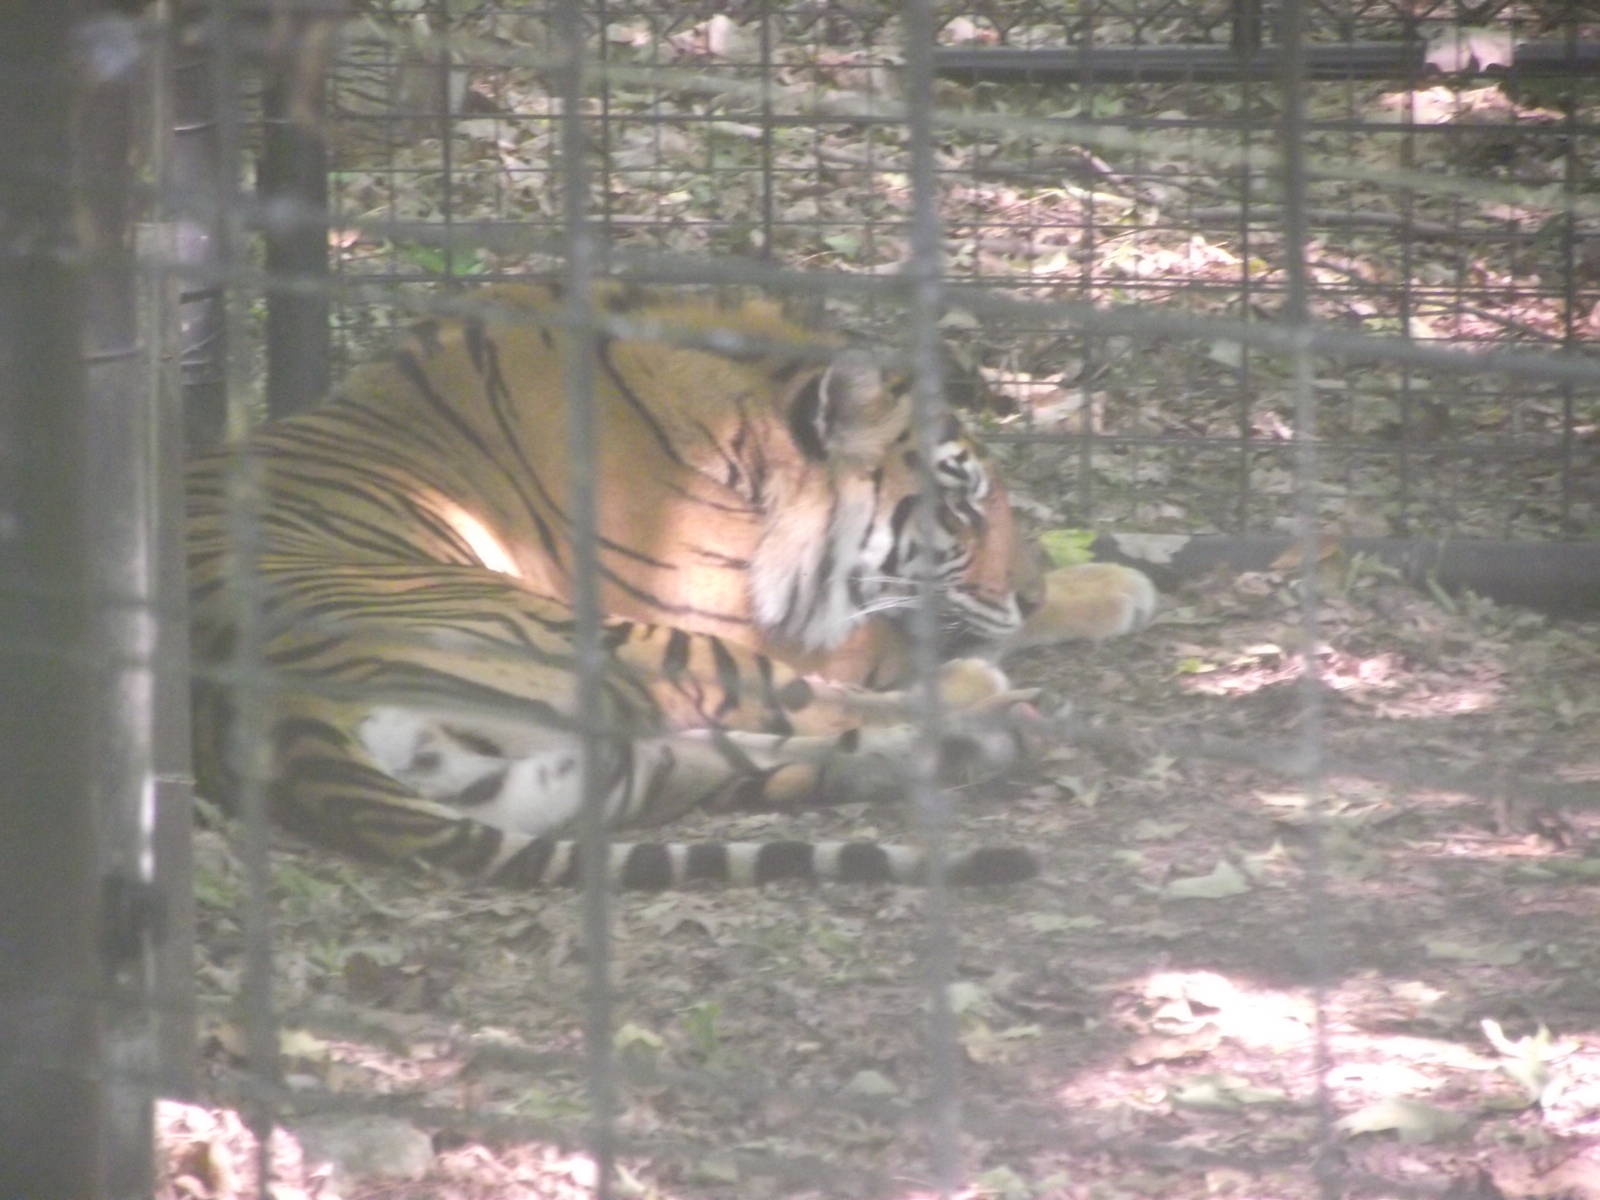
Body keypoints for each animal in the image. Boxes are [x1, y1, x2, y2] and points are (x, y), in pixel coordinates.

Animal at [186, 283, 1155, 890]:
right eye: (960, 505)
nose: (1029, 593)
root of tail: (280, 715)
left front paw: (1109, 585)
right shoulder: (736, 615)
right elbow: (898, 633)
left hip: (583, 772)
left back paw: (985, 742)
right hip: (601, 639)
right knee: (819, 708)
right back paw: (990, 707)